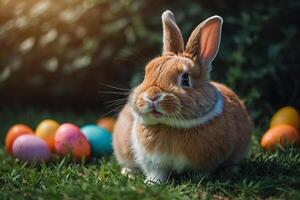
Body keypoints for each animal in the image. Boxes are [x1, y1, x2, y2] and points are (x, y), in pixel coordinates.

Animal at [112, 10, 251, 184]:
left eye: (185, 79)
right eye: (146, 73)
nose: (152, 96)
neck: (172, 125)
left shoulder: (205, 163)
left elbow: (202, 172)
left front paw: (201, 180)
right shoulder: (153, 163)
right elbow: (156, 173)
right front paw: (152, 184)